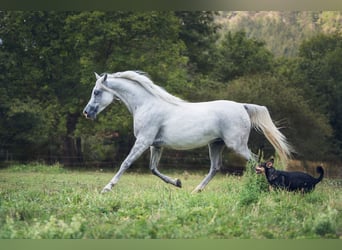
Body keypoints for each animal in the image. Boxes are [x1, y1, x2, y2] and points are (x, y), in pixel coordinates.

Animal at [82, 70, 292, 193]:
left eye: (96, 92)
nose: (86, 113)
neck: (146, 105)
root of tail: (242, 106)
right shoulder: (155, 145)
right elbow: (153, 169)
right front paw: (178, 182)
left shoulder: (143, 140)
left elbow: (126, 163)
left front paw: (107, 188)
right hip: (216, 144)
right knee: (215, 168)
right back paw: (196, 191)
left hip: (236, 145)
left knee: (256, 161)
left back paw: (259, 188)